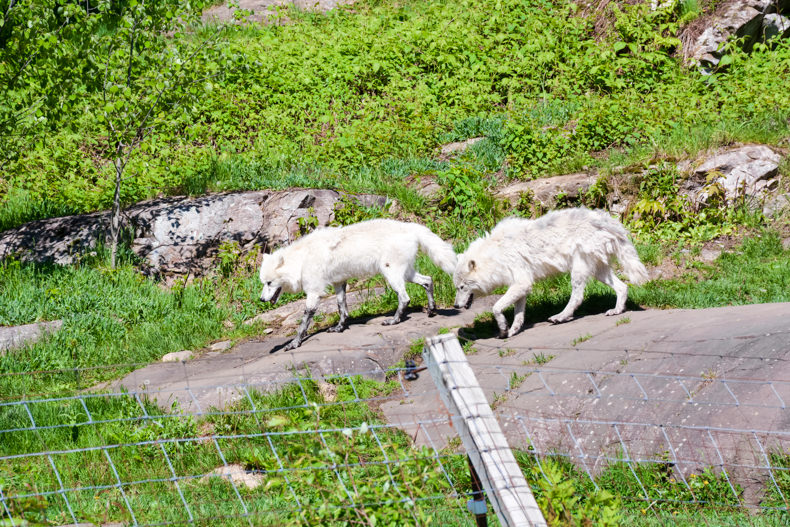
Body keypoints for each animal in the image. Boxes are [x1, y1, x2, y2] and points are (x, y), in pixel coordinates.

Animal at [260, 219, 458, 350]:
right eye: (263, 283)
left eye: (269, 283)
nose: (261, 300)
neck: (302, 260)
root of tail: (411, 227)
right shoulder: (339, 283)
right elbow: (342, 308)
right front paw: (339, 328)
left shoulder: (314, 292)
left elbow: (303, 323)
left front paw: (295, 343)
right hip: (406, 274)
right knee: (428, 280)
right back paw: (431, 310)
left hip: (391, 275)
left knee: (405, 298)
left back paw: (394, 321)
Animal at [452, 209, 648, 338]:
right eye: (456, 287)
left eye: (462, 287)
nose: (455, 306)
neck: (495, 254)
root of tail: (607, 221)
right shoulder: (522, 285)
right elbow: (518, 312)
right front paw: (514, 329)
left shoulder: (521, 283)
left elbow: (496, 307)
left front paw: (502, 327)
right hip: (599, 272)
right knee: (623, 287)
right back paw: (617, 310)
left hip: (578, 271)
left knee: (578, 297)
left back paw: (560, 317)